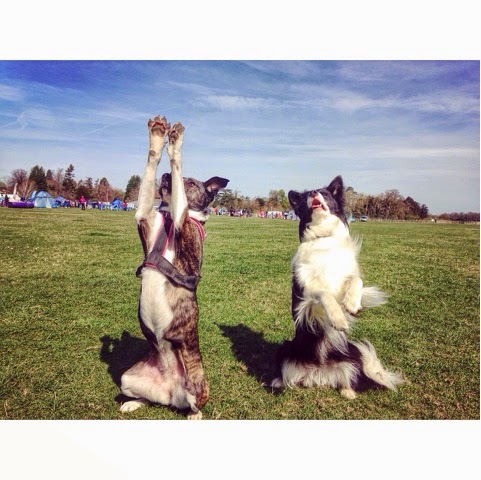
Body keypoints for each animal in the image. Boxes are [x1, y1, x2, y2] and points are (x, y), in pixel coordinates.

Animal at [119, 116, 229, 419]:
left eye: (191, 182)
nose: (166, 177)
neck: (169, 222)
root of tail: (171, 392)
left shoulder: (183, 222)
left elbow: (177, 169)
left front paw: (176, 146)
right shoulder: (144, 215)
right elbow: (151, 163)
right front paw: (158, 138)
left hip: (199, 383)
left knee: (195, 405)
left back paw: (195, 415)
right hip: (128, 378)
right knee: (150, 399)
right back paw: (134, 402)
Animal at [271, 175, 403, 399]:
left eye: (325, 193)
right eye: (305, 198)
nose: (313, 193)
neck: (323, 239)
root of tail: (319, 375)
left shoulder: (347, 277)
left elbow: (355, 280)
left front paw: (352, 304)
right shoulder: (304, 298)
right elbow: (325, 294)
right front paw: (338, 318)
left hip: (352, 353)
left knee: (350, 375)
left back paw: (347, 390)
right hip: (286, 347)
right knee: (288, 375)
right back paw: (281, 382)